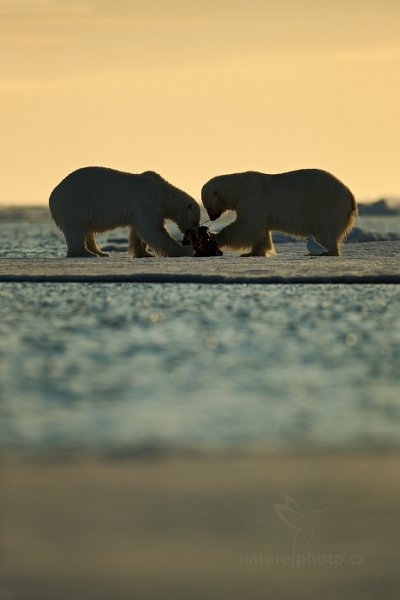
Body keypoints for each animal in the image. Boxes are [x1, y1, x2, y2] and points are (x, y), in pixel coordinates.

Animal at [50, 166, 200, 258]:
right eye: (195, 222)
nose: (193, 233)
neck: (161, 191)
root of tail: (52, 196)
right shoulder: (148, 202)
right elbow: (152, 229)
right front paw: (186, 250)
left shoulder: (141, 210)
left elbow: (138, 231)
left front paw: (143, 253)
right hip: (73, 205)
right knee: (76, 229)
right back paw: (86, 253)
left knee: (87, 231)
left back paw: (101, 252)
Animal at [202, 168, 358, 256]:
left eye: (208, 206)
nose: (212, 217)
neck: (239, 189)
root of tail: (349, 194)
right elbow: (260, 231)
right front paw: (253, 253)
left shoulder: (252, 199)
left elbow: (247, 226)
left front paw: (216, 237)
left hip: (325, 204)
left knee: (324, 229)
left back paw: (326, 252)